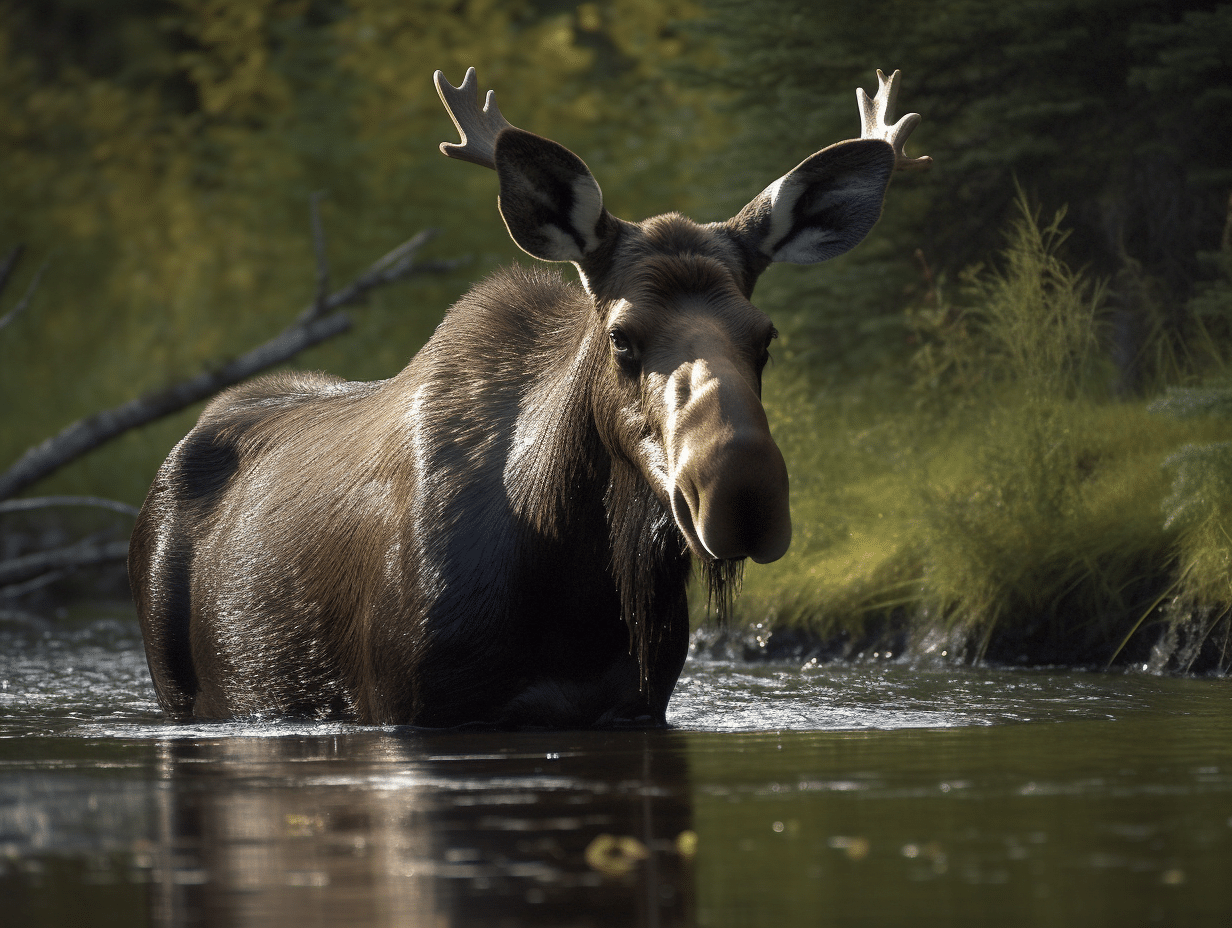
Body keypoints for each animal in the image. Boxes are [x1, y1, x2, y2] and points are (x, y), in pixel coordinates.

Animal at [129, 68, 929, 728]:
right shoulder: (410, 706)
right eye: (622, 337)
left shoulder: (633, 708)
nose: (742, 494)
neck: (575, 593)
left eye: (764, 337)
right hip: (178, 688)